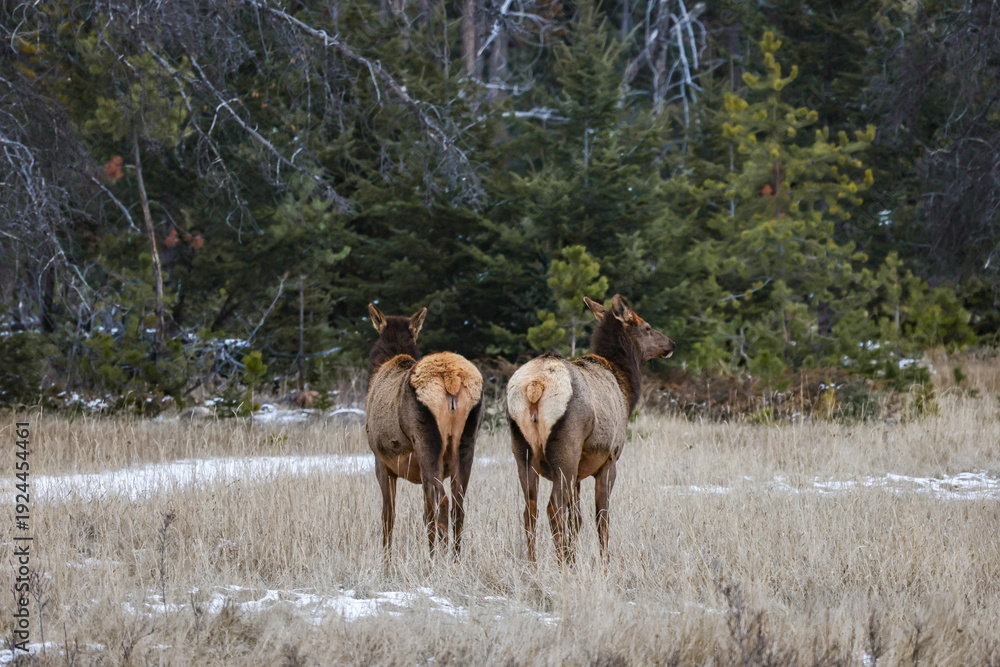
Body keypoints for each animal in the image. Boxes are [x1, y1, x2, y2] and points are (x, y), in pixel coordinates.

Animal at [365, 303, 484, 559]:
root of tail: (451, 380)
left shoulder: (381, 461)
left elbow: (388, 517)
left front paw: (386, 562)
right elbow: (426, 515)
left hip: (427, 442)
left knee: (444, 502)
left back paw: (443, 560)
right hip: (467, 440)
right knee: (458, 505)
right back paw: (455, 559)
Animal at [506, 294, 675, 563]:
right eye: (647, 327)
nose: (671, 343)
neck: (626, 389)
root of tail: (535, 386)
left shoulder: (578, 473)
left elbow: (577, 519)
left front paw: (576, 552)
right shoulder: (609, 459)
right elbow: (601, 517)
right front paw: (605, 561)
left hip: (522, 450)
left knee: (529, 509)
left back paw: (533, 564)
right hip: (566, 450)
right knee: (553, 507)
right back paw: (563, 563)